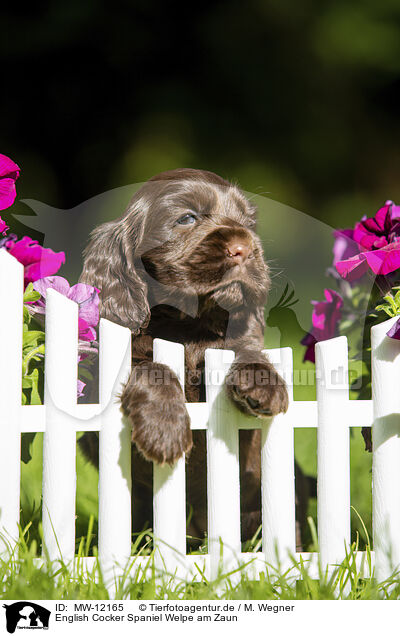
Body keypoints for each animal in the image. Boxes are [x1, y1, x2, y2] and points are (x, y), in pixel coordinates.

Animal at [79, 169, 304, 548]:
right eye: (186, 218)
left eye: (249, 222)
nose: (246, 248)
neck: (188, 323)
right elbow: (150, 368)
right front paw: (164, 429)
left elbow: (246, 349)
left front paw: (263, 383)